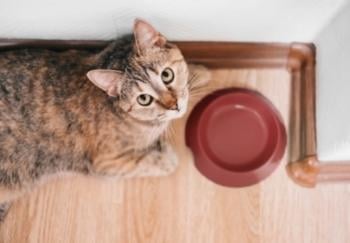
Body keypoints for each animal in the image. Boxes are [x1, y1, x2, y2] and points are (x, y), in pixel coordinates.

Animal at [0, 19, 208, 221]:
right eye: (144, 99)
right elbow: (142, 162)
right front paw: (165, 159)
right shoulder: (105, 162)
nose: (175, 105)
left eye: (167, 75)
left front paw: (198, 73)